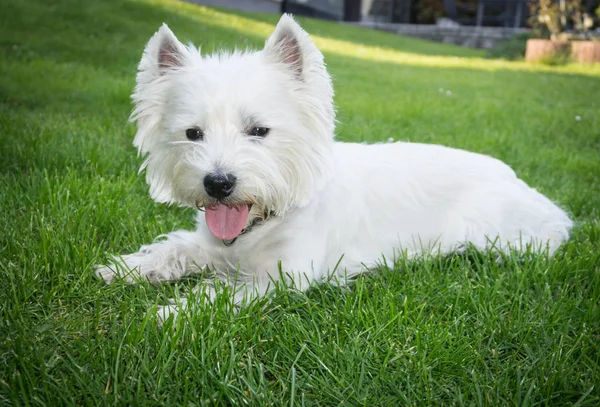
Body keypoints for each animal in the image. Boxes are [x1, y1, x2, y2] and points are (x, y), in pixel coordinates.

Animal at [96, 15, 576, 322]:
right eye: (193, 133)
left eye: (259, 130)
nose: (217, 183)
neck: (263, 222)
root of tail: (518, 181)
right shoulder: (212, 244)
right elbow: (175, 248)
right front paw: (124, 269)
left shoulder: (283, 277)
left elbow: (220, 295)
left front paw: (169, 313)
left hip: (505, 237)